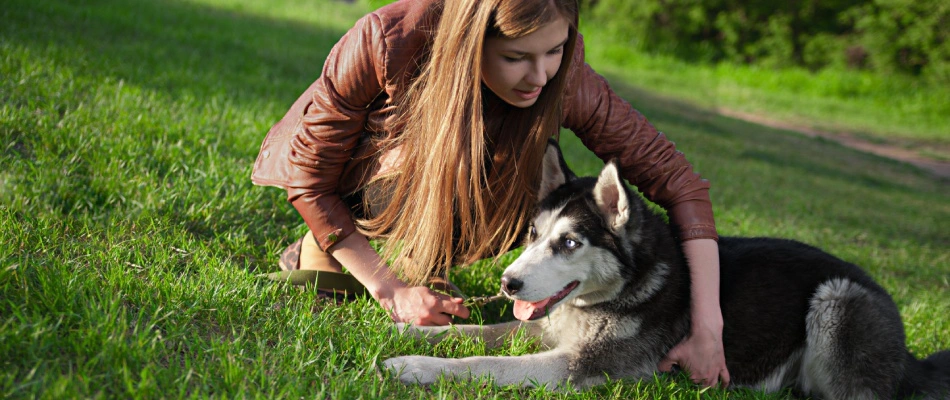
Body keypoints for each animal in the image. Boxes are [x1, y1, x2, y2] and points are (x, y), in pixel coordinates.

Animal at [384, 142, 948, 398]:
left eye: (569, 243)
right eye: (532, 234)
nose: (508, 283)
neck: (622, 290)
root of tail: (910, 357)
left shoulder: (580, 365)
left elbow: (487, 363)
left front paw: (413, 365)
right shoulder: (547, 326)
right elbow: (479, 332)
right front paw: (414, 328)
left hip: (836, 297)